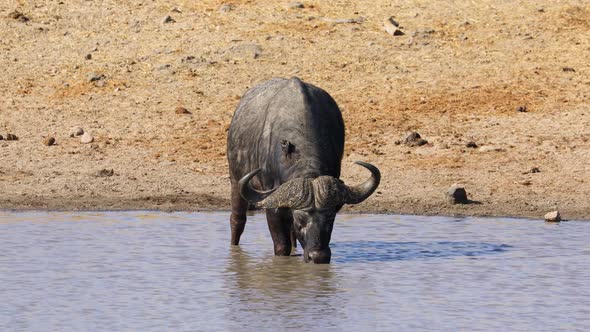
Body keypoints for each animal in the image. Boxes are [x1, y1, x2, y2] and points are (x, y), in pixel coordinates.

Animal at [227, 76, 380, 264]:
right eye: (300, 221)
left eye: (330, 219)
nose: (319, 257)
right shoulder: (272, 206)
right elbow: (282, 245)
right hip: (235, 180)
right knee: (237, 220)